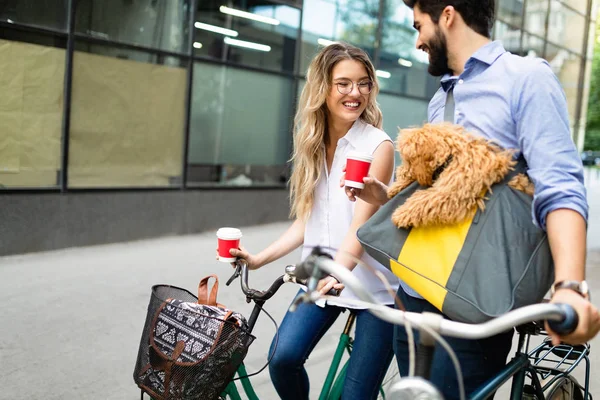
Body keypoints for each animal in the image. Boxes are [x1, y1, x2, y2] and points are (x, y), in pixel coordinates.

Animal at [390, 122, 536, 228]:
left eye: (407, 160)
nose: (399, 171)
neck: (451, 157)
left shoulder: (452, 193)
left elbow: (424, 199)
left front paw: (401, 214)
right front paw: (395, 188)